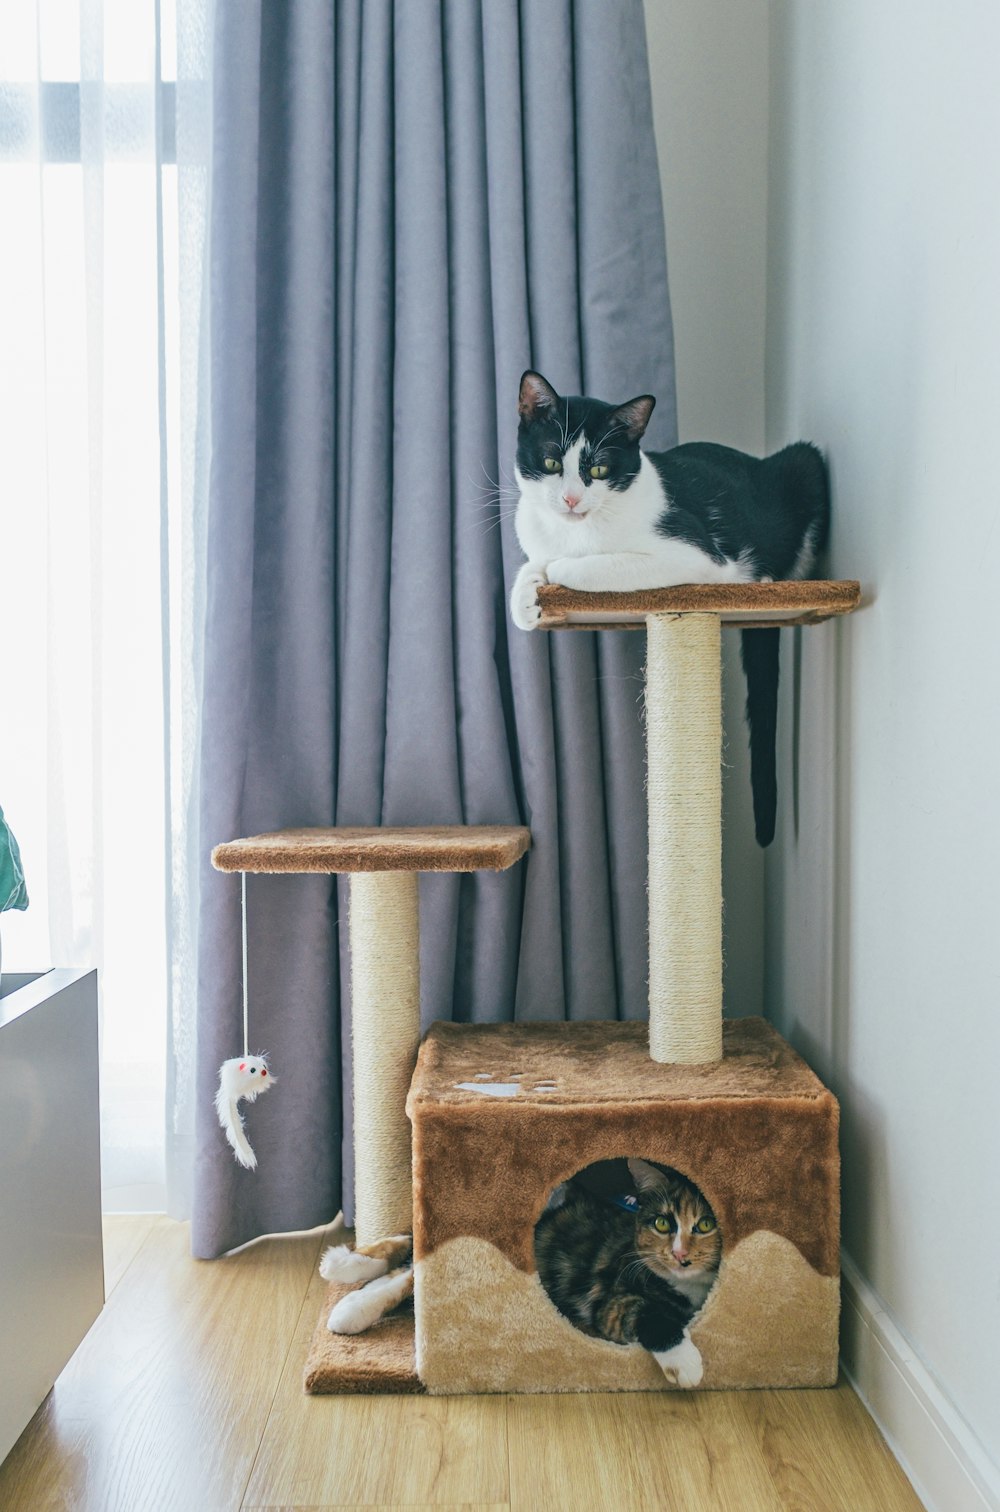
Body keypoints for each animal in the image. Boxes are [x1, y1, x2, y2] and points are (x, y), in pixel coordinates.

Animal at [538, 1161, 717, 1384]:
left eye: (706, 1224)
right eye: (662, 1223)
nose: (679, 1253)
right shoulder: (613, 1303)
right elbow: (646, 1312)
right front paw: (683, 1361)